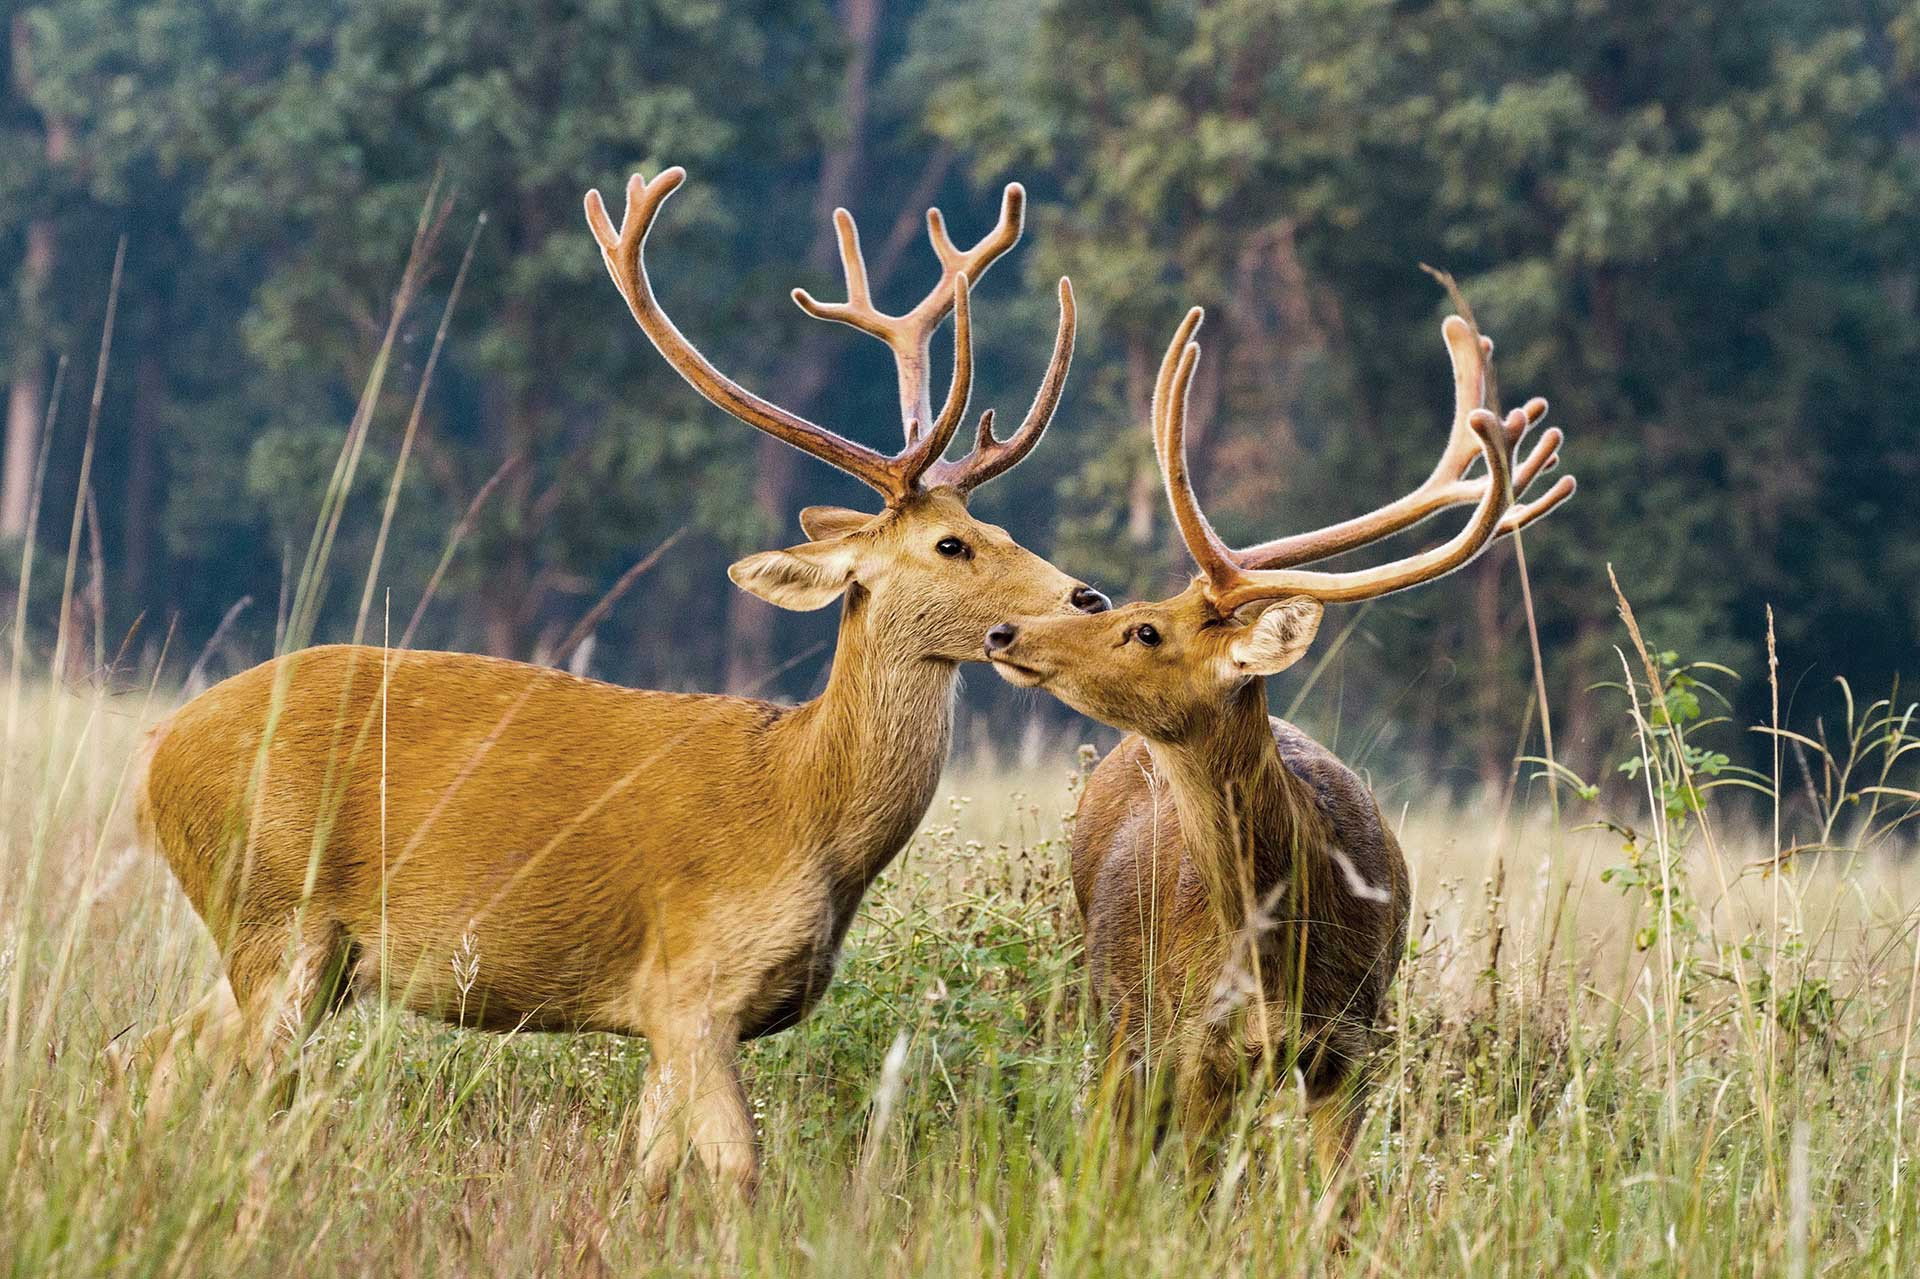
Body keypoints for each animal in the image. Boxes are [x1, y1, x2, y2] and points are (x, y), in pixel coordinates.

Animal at [121, 165, 1111, 1201]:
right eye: (953, 543)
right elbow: (738, 1168)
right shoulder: (691, 982)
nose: (1088, 597)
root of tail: (157, 755)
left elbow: (649, 1171)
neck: (805, 803)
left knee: (156, 1050)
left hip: (286, 945)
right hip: (275, 913)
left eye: (999, 526)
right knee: (217, 1073)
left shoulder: (665, 1018)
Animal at [982, 304, 1575, 1171]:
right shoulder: (1198, 1045)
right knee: (1111, 1138)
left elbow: (1338, 1193)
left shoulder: (1351, 1042)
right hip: (1117, 1010)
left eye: (1145, 628)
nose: (1003, 630)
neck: (1276, 958)